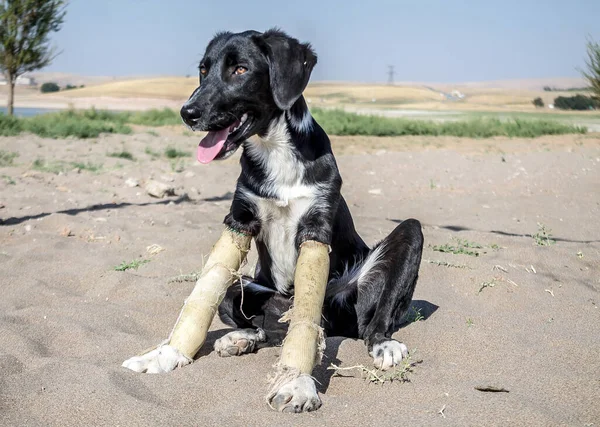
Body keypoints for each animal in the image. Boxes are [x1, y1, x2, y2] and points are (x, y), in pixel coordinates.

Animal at [125, 27, 424, 414]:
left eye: (240, 69)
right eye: (203, 70)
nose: (187, 112)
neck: (274, 150)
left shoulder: (316, 225)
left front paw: (297, 383)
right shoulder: (239, 219)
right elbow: (203, 294)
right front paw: (166, 354)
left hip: (397, 248)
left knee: (372, 318)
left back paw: (383, 343)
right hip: (245, 288)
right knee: (259, 323)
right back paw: (240, 338)